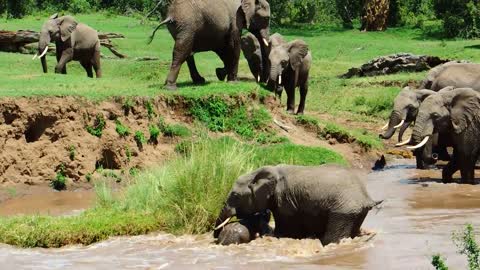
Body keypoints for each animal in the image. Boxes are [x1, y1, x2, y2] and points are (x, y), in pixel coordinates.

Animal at [212, 163, 380, 246]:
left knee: (332, 237)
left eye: (235, 196)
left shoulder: (284, 197)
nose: (215, 237)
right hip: (356, 212)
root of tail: (365, 196)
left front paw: (279, 236)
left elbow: (286, 225)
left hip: (343, 210)